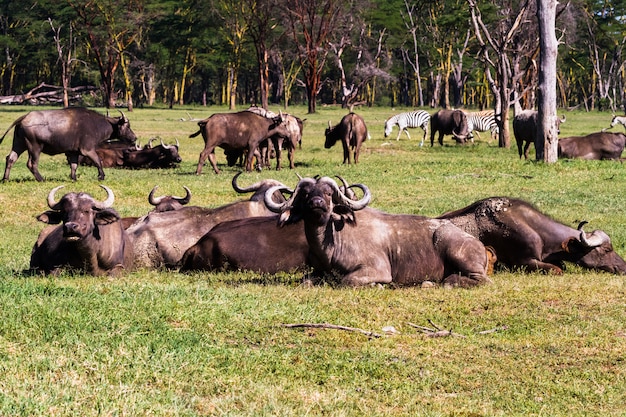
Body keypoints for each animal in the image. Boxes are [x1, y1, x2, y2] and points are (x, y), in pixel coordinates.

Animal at [0, 107, 136, 180]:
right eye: (128, 126)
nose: (134, 138)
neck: (98, 124)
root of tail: (24, 117)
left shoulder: (74, 152)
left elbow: (74, 165)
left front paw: (74, 178)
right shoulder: (87, 149)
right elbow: (98, 161)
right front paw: (101, 176)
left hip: (19, 144)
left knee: (10, 159)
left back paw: (5, 179)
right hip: (34, 147)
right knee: (31, 164)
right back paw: (41, 179)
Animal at [262, 176, 492, 286]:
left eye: (328, 193)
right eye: (306, 194)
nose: (316, 203)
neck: (331, 243)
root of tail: (478, 244)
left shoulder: (377, 270)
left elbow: (347, 280)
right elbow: (306, 281)